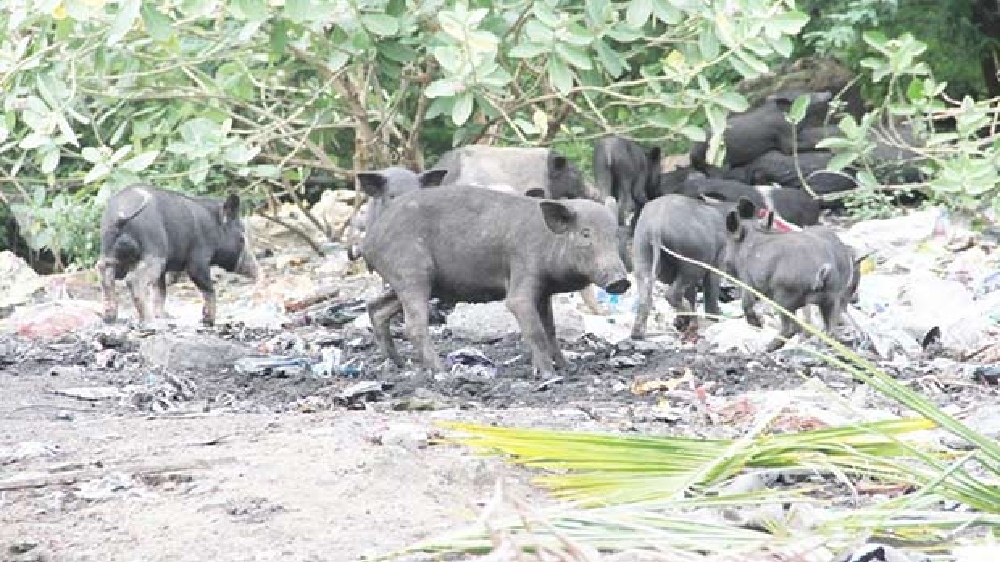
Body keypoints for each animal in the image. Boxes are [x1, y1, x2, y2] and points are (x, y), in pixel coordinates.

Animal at [97, 184, 259, 326]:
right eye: (242, 238)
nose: (257, 272)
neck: (214, 228)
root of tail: (120, 218)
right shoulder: (197, 261)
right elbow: (208, 289)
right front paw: (208, 321)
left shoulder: (164, 270)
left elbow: (160, 291)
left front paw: (166, 316)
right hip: (155, 251)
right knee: (134, 280)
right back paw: (149, 322)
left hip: (110, 252)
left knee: (104, 272)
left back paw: (109, 318)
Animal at [360, 185, 630, 377]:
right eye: (585, 234)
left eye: (616, 235)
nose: (621, 281)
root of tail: (368, 241)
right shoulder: (523, 271)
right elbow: (533, 328)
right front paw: (548, 376)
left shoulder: (544, 293)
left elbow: (551, 330)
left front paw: (567, 368)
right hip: (411, 272)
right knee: (414, 325)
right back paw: (442, 372)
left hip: (415, 283)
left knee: (376, 308)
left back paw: (399, 364)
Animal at [630, 194, 733, 339]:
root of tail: (656, 227)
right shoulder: (720, 253)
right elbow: (711, 284)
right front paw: (713, 321)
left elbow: (690, 292)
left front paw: (681, 324)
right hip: (691, 251)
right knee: (674, 292)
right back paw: (693, 320)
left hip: (641, 244)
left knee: (645, 286)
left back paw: (637, 333)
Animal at [722, 198, 861, 352]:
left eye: (726, 260)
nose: (726, 274)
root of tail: (823, 271)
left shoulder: (747, 283)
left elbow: (746, 304)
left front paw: (757, 324)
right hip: (831, 299)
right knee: (830, 329)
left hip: (783, 300)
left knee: (791, 328)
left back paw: (768, 347)